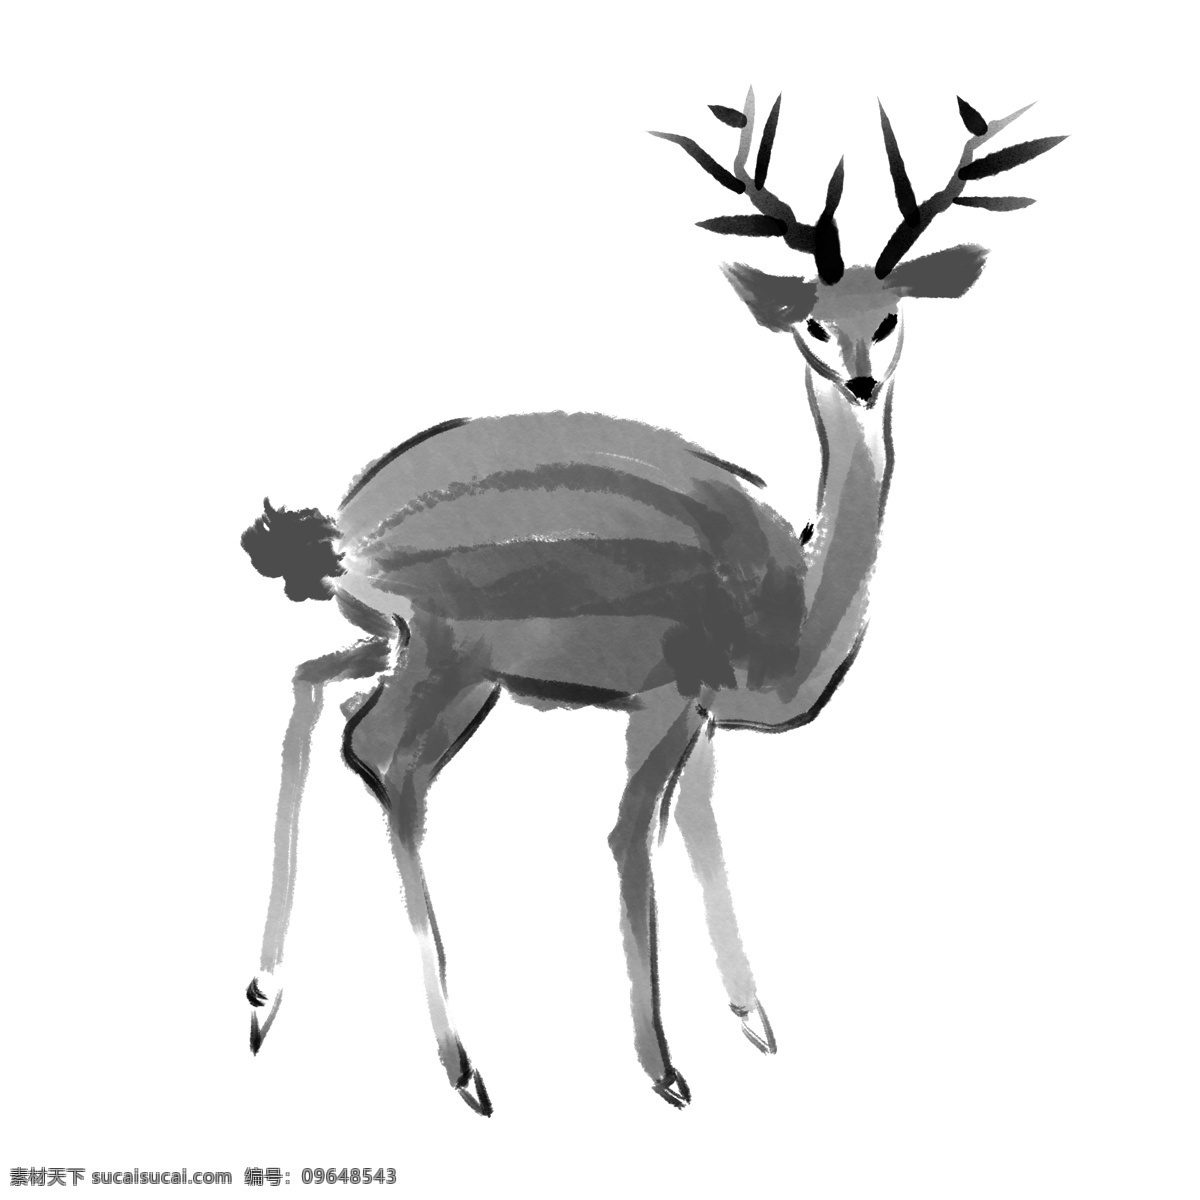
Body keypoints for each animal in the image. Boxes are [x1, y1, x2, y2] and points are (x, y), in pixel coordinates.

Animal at [240, 89, 1064, 1116]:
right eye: (812, 322)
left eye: (891, 314)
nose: (863, 381)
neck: (788, 618)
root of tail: (343, 532)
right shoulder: (666, 693)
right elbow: (632, 835)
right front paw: (666, 1070)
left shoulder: (702, 716)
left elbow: (702, 827)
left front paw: (756, 1022)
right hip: (450, 658)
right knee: (389, 761)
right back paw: (465, 1070)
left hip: (401, 646)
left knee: (316, 689)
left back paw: (264, 1001)